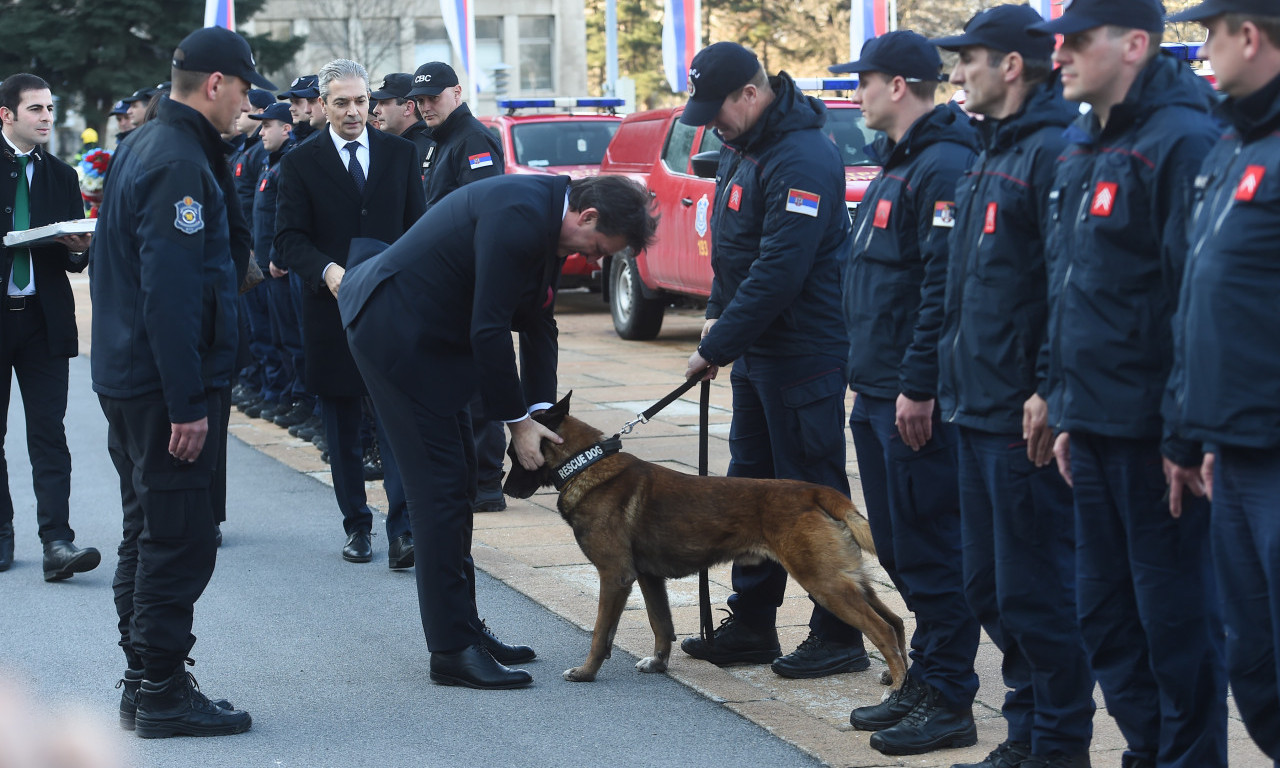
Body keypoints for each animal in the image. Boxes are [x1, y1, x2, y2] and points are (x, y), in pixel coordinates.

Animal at [501, 394, 911, 686]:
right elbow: (661, 624)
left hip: (825, 584)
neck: (586, 463)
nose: (504, 489)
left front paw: (586, 673)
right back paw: (898, 679)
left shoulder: (615, 577)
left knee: (882, 630)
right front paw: (659, 663)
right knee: (895, 622)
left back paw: (895, 690)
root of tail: (816, 492)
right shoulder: (649, 578)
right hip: (848, 581)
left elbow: (601, 633)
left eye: (513, 452)